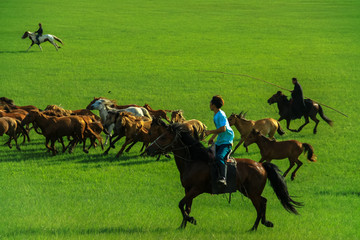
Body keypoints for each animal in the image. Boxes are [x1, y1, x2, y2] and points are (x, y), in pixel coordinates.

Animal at [145, 124, 302, 231]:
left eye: (163, 137)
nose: (148, 149)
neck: (194, 161)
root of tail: (261, 165)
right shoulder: (188, 190)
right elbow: (186, 207)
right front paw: (183, 226)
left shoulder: (196, 189)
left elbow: (180, 204)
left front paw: (191, 220)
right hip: (247, 191)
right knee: (263, 202)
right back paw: (261, 224)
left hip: (252, 193)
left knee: (260, 205)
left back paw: (256, 227)